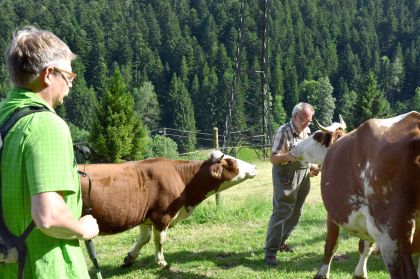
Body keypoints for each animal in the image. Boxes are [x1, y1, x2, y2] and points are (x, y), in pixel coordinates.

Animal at [78, 151, 256, 270]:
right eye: (232, 162)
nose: (254, 166)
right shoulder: (162, 215)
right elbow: (160, 240)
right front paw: (161, 261)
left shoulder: (145, 216)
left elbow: (145, 238)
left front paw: (129, 258)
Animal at [316, 112, 420, 279]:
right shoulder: (367, 216)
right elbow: (365, 244)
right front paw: (360, 273)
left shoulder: (332, 215)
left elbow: (331, 244)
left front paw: (322, 274)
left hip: (391, 233)